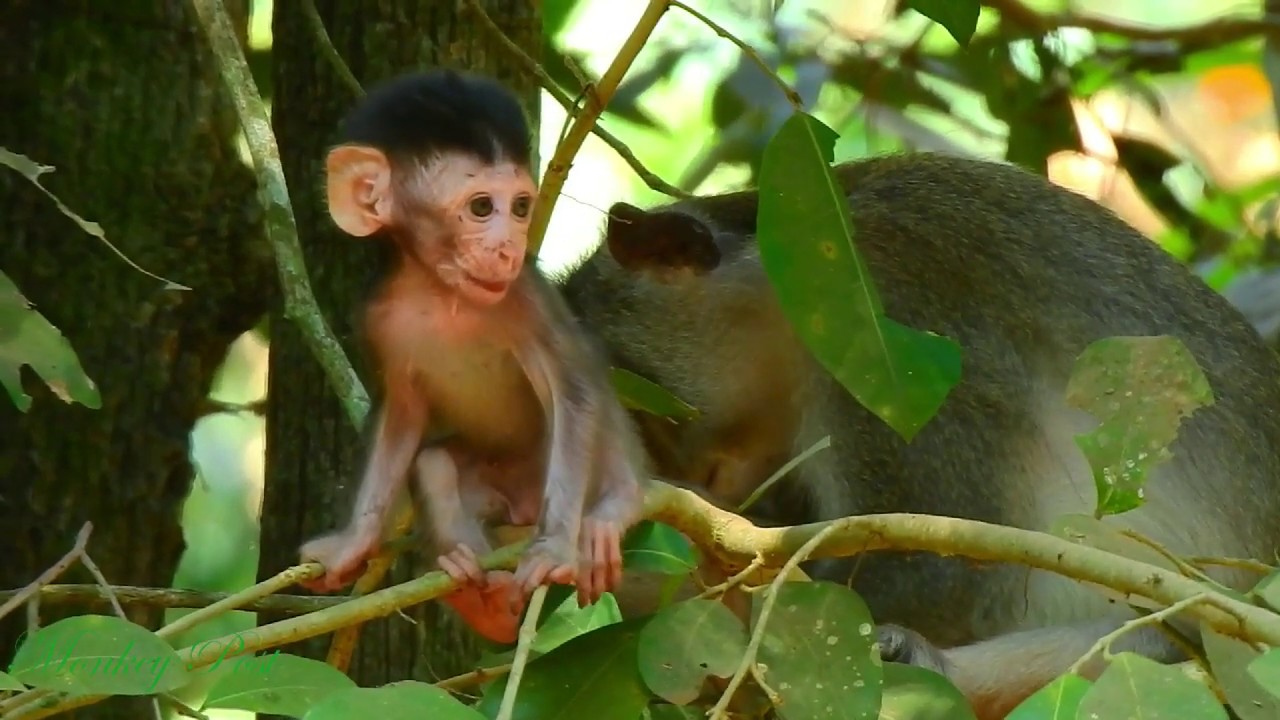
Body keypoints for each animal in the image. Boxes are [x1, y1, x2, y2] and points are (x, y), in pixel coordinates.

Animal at [297, 70, 647, 644]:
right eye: (482, 207)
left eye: (521, 207)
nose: (508, 247)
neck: (443, 294)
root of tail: (523, 503)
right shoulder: (374, 314)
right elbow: (402, 413)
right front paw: (353, 544)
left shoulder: (524, 296)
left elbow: (575, 388)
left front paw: (557, 547)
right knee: (434, 464)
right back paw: (480, 593)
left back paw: (611, 510)